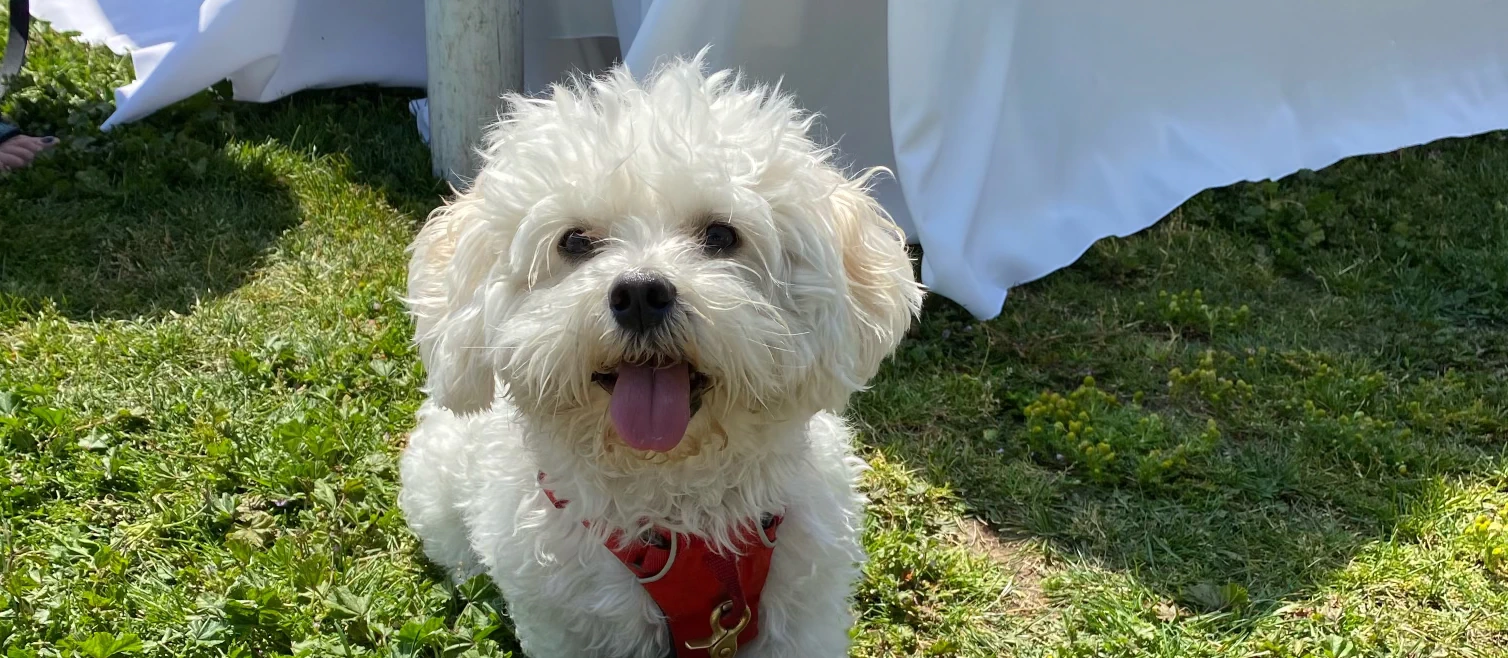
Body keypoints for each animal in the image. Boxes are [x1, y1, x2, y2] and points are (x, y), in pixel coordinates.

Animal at [395, 55, 922, 658]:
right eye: (573, 242)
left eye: (721, 235)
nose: (641, 294)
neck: (677, 508)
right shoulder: (570, 621)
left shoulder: (802, 611)